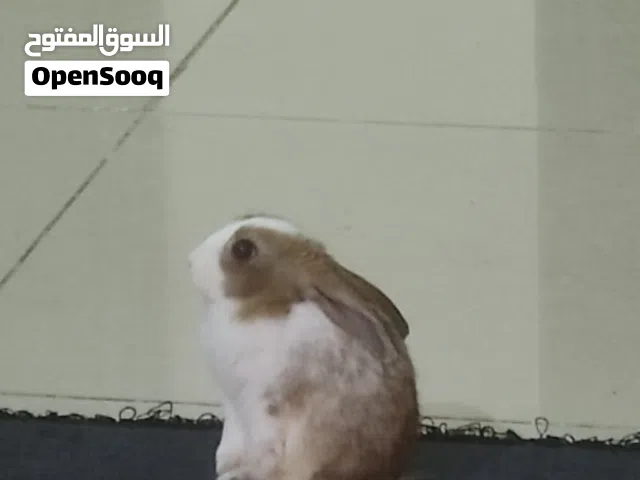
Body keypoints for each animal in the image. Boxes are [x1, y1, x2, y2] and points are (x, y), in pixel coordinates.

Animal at [189, 214, 419, 480]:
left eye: (243, 249)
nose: (191, 259)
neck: (259, 308)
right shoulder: (233, 404)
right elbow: (230, 444)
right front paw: (225, 466)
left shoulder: (264, 408)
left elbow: (264, 455)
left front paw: (236, 475)